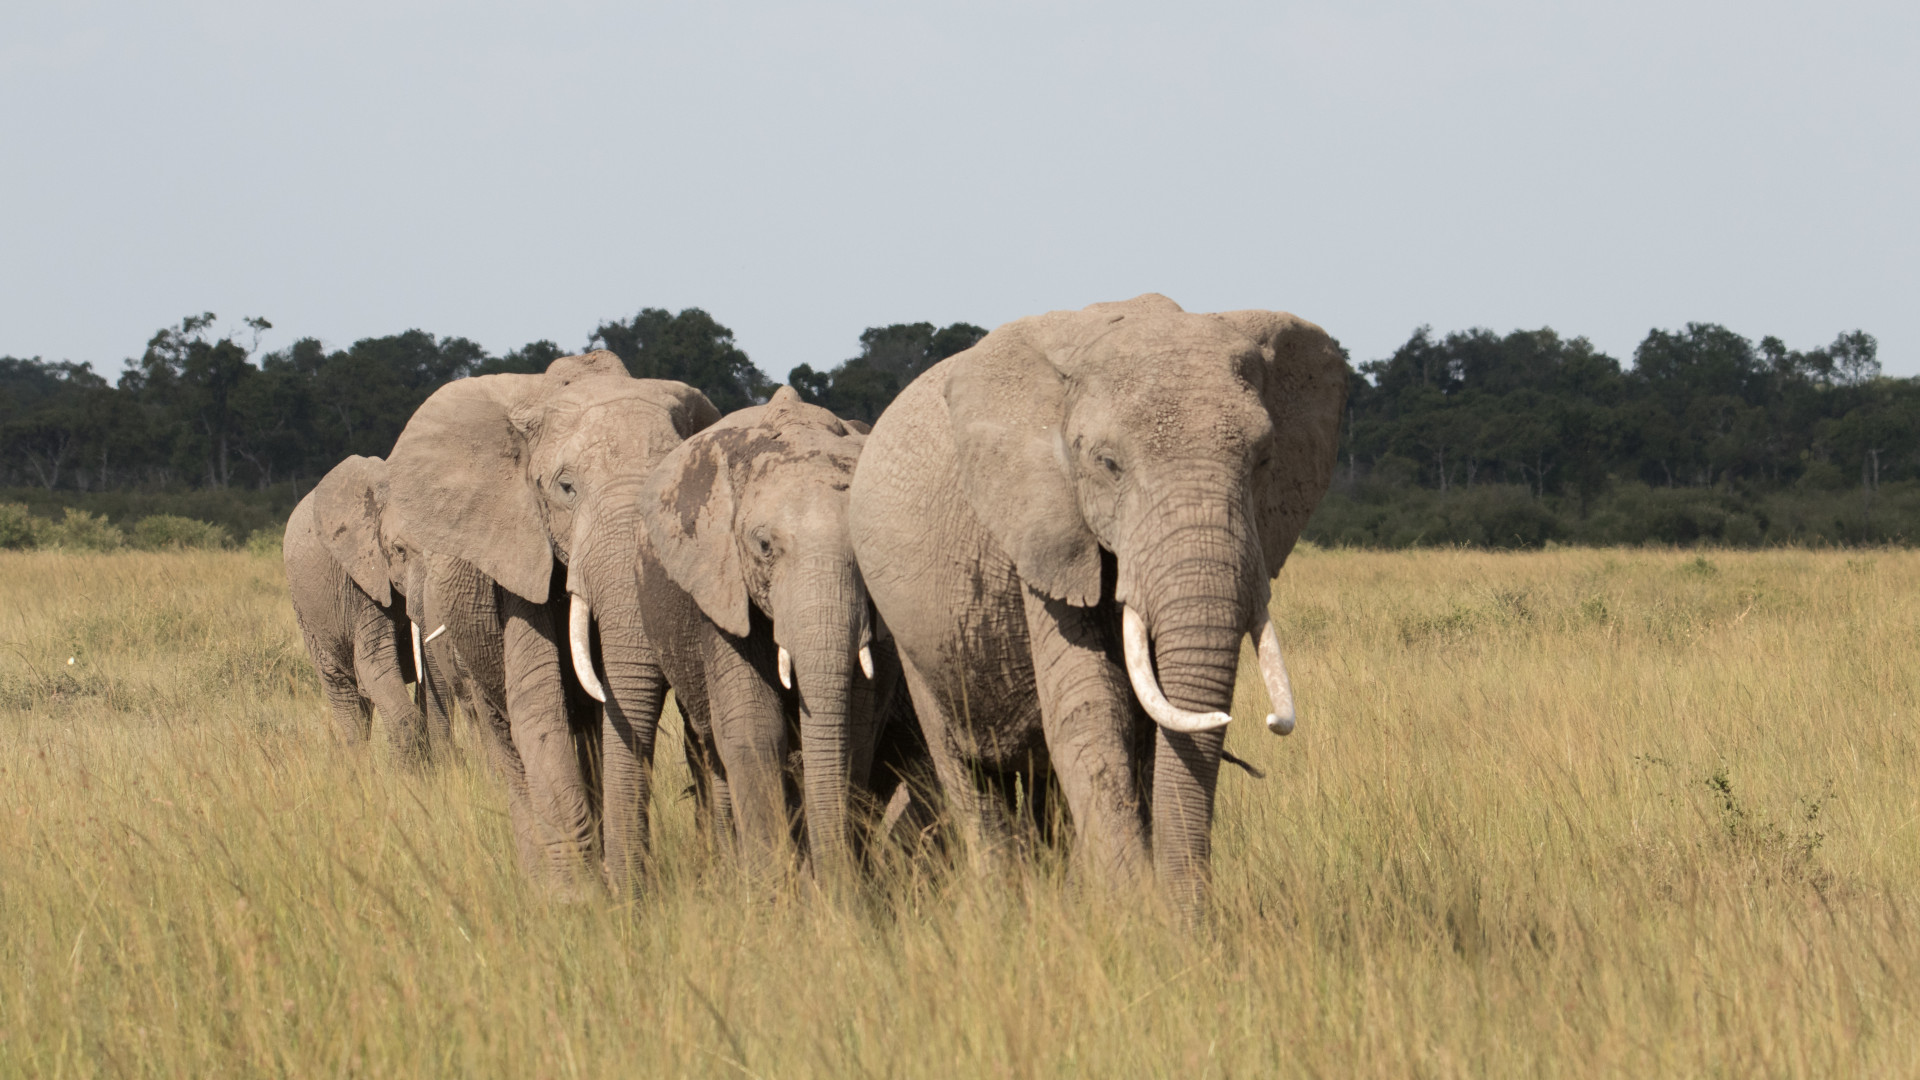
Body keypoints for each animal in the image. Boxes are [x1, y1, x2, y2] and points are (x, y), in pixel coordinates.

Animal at [284, 449, 460, 760]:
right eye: (399, 550)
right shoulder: (361, 582)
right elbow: (373, 666)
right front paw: (411, 766)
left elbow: (431, 671)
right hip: (306, 610)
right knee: (342, 686)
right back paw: (357, 766)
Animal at [385, 349, 721, 887]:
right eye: (566, 488)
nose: (634, 888)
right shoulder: (520, 556)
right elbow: (539, 707)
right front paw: (576, 896)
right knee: (507, 736)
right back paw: (538, 878)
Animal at [848, 290, 1344, 910]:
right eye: (1107, 464)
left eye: (1263, 460)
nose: (1193, 916)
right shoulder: (1044, 525)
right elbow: (1092, 710)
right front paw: (1133, 911)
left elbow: (1148, 729)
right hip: (915, 645)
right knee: (966, 771)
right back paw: (1005, 904)